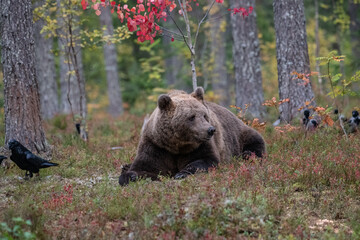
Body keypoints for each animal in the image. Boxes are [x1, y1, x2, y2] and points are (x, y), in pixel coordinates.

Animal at [119, 87, 266, 186]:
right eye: (191, 117)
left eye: (205, 115)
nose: (210, 130)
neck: (177, 145)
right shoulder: (156, 145)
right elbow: (146, 167)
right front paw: (130, 176)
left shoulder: (200, 145)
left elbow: (205, 160)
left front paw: (181, 173)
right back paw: (125, 166)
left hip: (238, 133)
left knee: (255, 140)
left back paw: (247, 154)